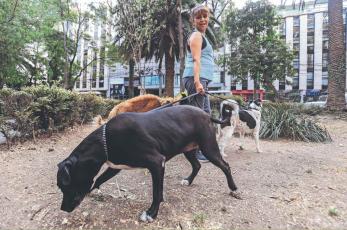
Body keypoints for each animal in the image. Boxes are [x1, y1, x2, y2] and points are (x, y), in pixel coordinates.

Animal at [57, 105, 239, 222]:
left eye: (66, 185)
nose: (63, 209)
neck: (105, 140)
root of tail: (207, 115)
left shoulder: (157, 163)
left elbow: (156, 193)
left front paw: (152, 214)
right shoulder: (115, 166)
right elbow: (99, 179)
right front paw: (93, 191)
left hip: (209, 148)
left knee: (225, 166)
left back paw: (234, 189)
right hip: (188, 149)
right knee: (197, 165)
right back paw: (188, 180)